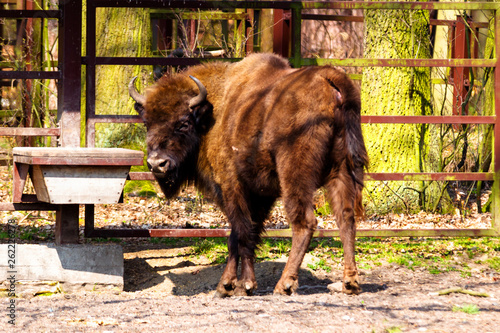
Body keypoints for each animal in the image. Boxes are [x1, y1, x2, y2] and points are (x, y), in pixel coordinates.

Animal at [131, 53, 370, 296]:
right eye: (147, 123)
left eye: (183, 123)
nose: (157, 164)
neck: (213, 112)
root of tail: (328, 79)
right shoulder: (262, 195)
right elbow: (244, 234)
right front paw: (227, 285)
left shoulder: (231, 186)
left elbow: (241, 232)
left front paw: (241, 285)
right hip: (342, 171)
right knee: (346, 218)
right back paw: (349, 282)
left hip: (294, 176)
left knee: (304, 222)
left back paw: (284, 285)